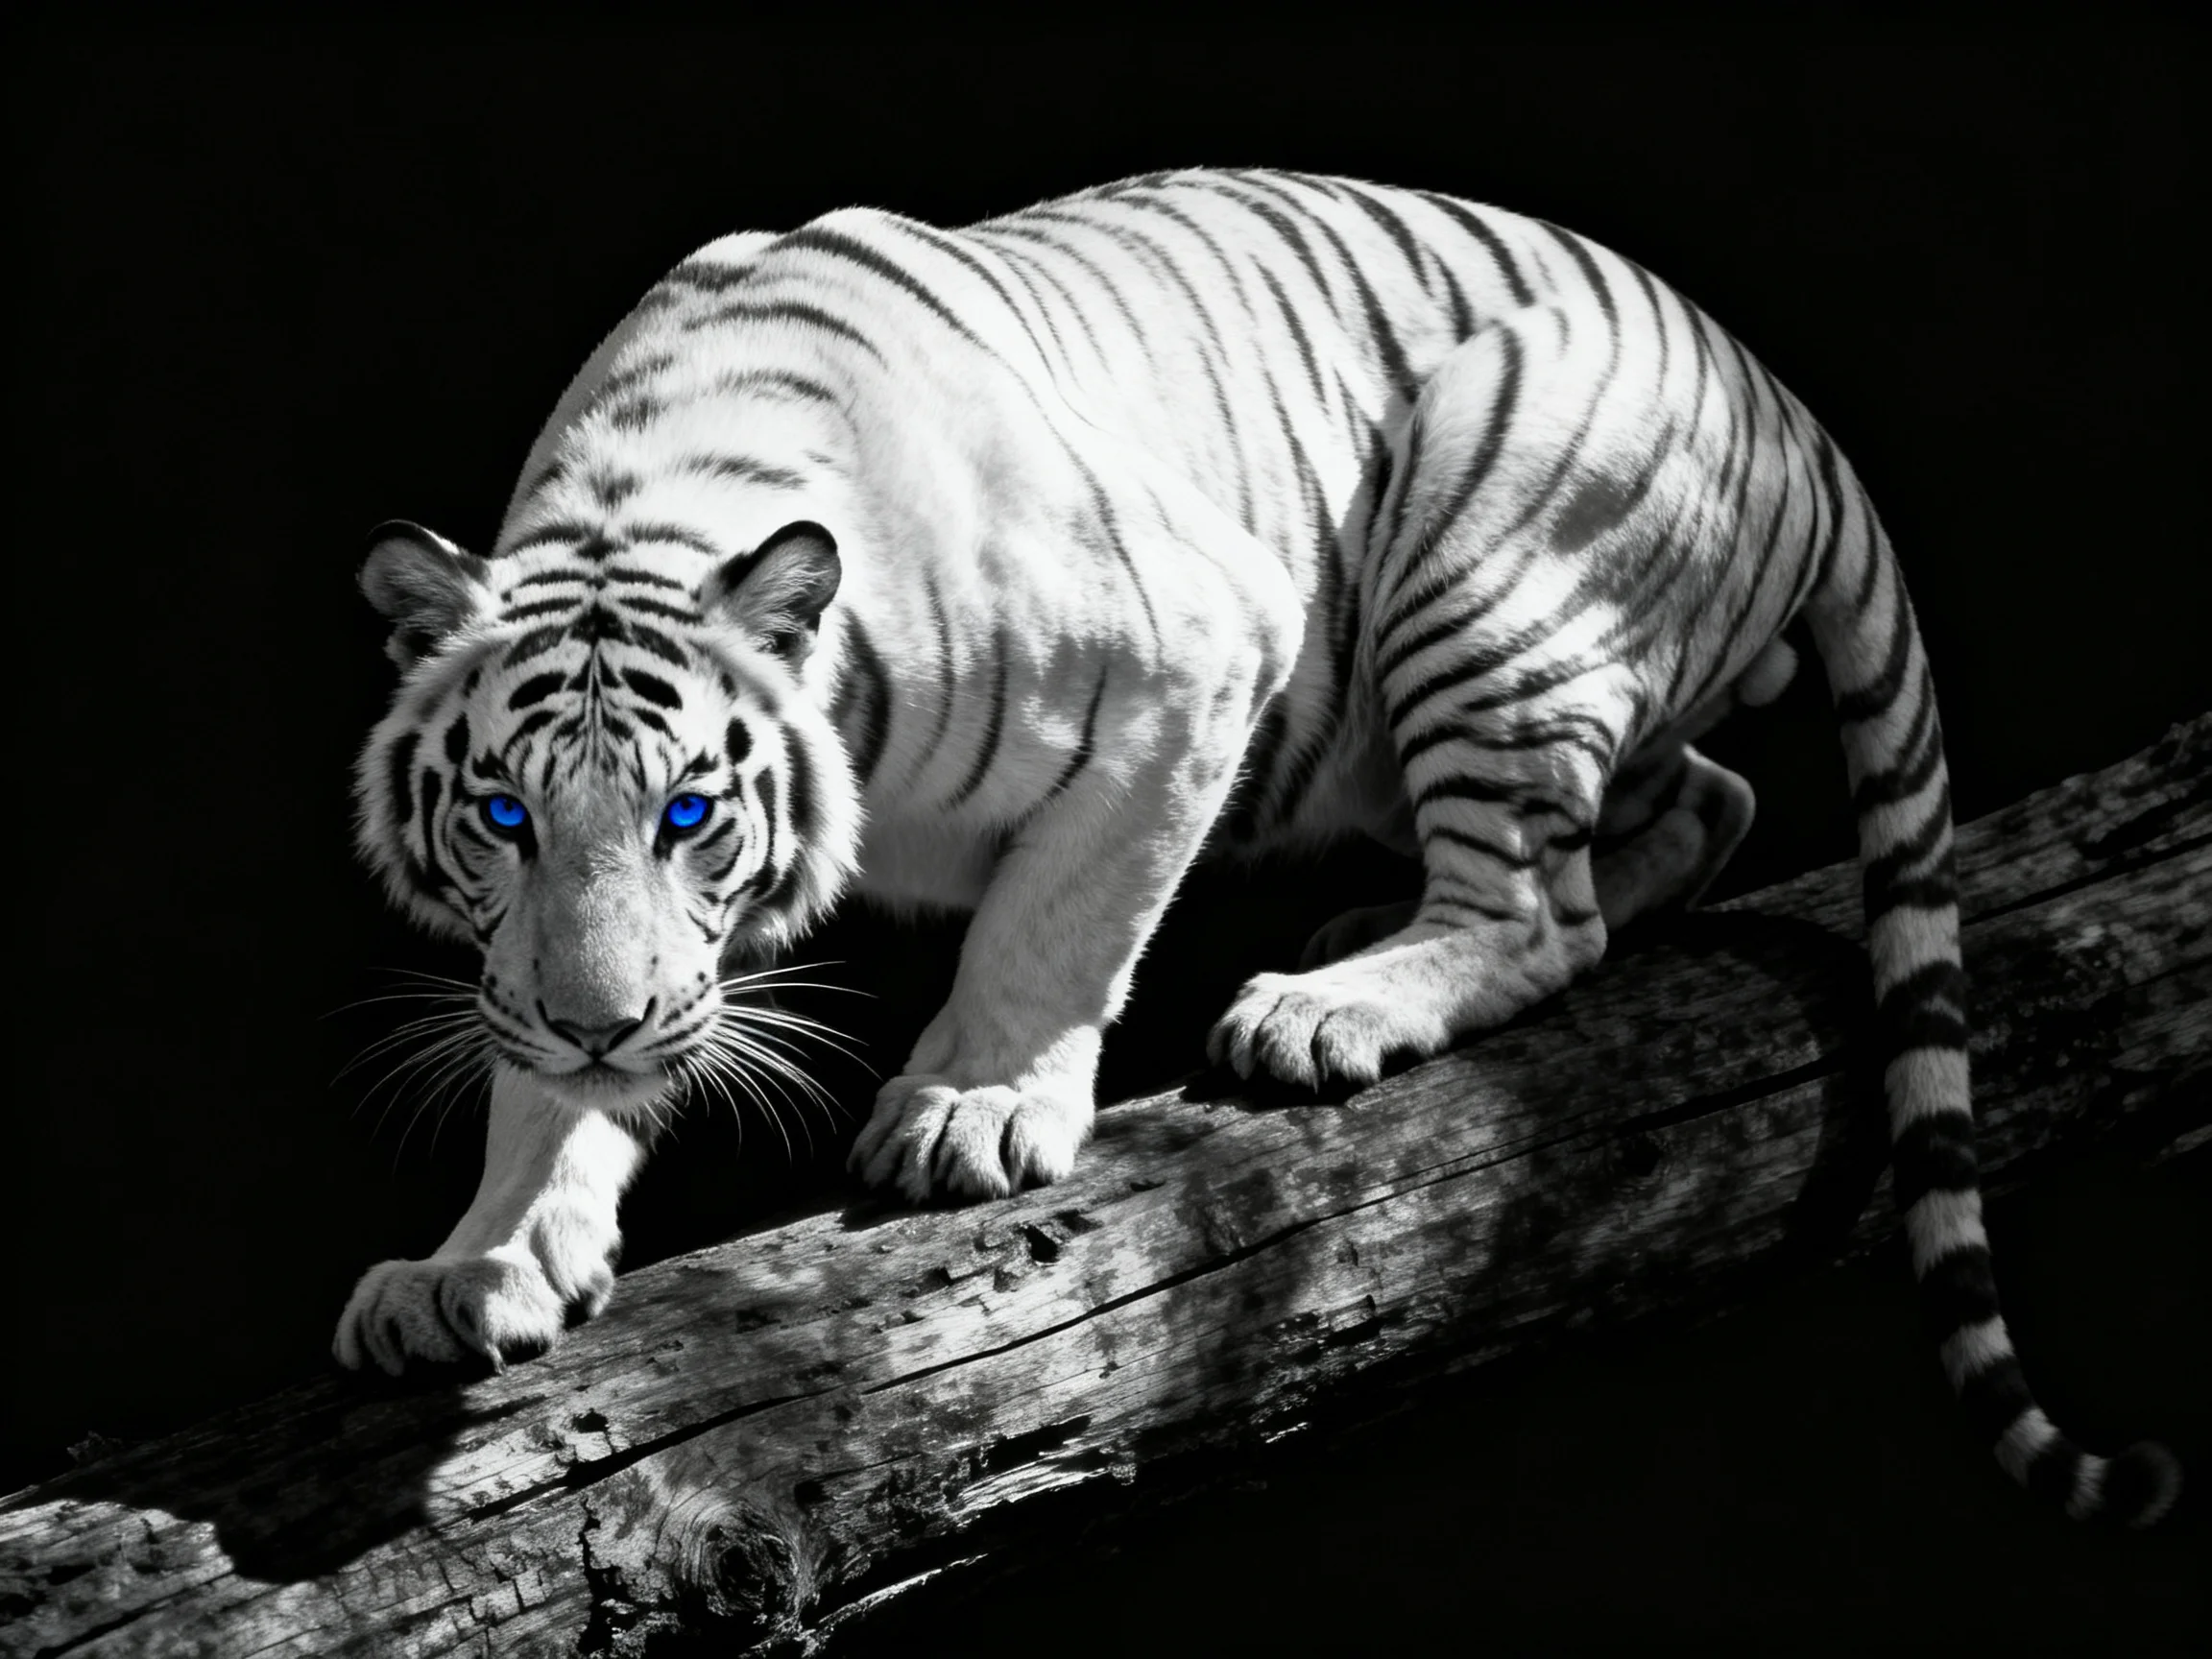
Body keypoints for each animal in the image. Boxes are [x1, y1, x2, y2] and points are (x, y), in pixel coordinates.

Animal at [332, 167, 2178, 1526]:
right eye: (505, 816)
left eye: (689, 815)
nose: (602, 1023)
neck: (649, 494)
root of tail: (1780, 393)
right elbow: (533, 1082)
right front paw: (480, 1257)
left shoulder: (1191, 659)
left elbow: (1050, 924)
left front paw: (973, 1108)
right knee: (1697, 808)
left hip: (1476, 542)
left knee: (1543, 908)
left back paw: (1327, 1001)